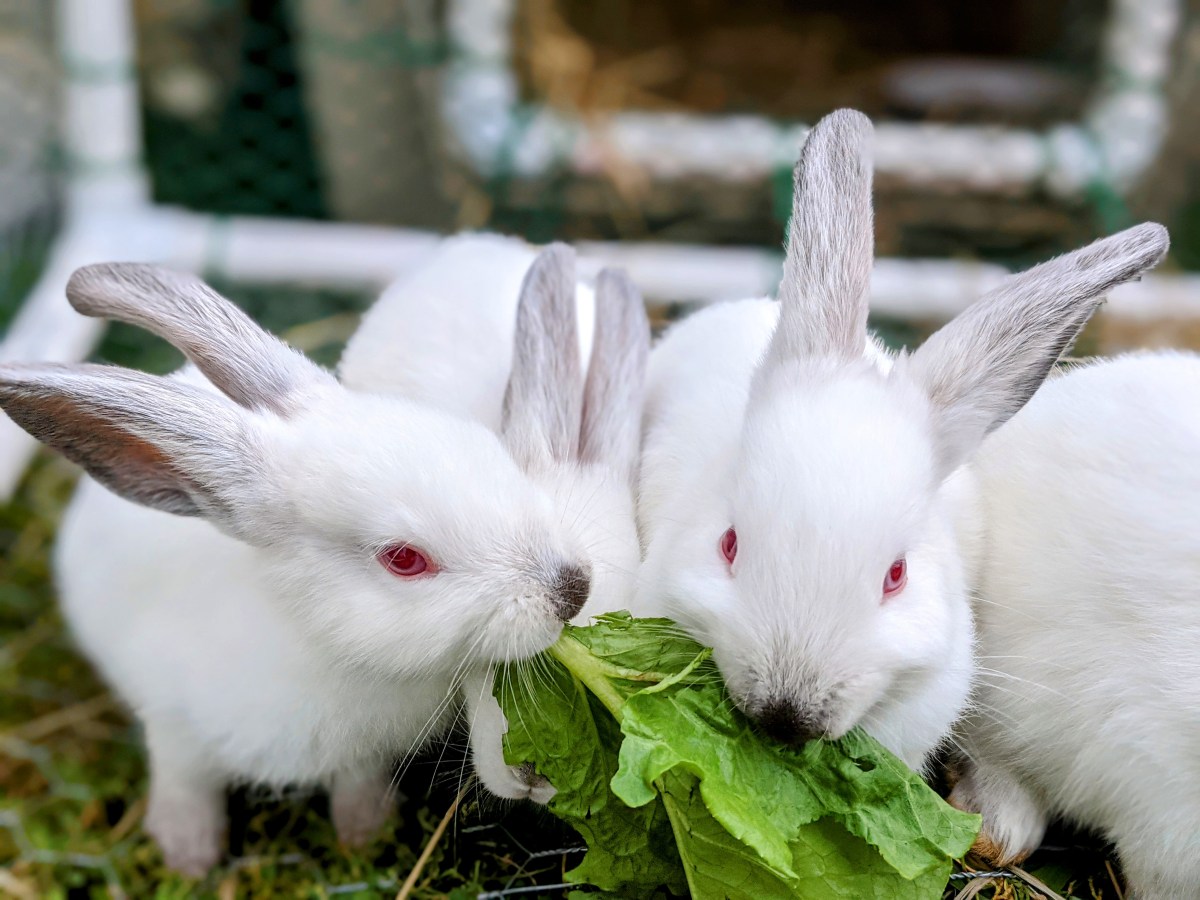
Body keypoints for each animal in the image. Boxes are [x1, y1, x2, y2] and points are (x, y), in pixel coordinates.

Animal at [0, 262, 608, 875]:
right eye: (404, 559)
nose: (572, 588)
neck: (317, 640)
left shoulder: (362, 757)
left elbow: (356, 791)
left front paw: (365, 840)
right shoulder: (175, 730)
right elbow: (185, 788)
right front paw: (189, 860)